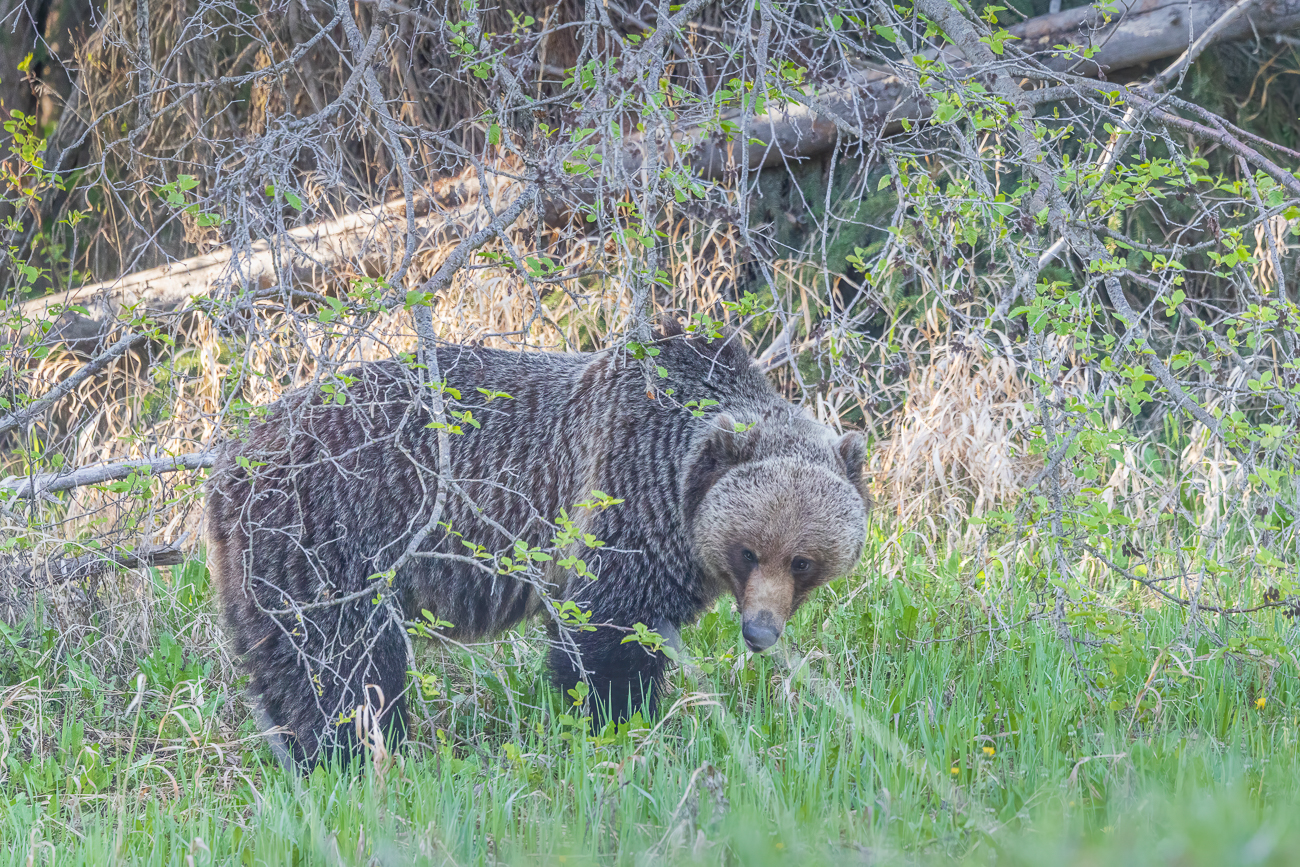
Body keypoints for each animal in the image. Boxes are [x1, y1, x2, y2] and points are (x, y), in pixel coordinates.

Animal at [205, 321, 870, 768]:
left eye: (803, 561)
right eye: (748, 550)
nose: (760, 632)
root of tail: (227, 462)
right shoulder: (617, 501)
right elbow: (606, 636)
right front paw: (622, 722)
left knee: (285, 671)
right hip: (327, 541)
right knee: (346, 665)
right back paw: (360, 755)